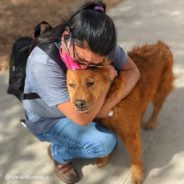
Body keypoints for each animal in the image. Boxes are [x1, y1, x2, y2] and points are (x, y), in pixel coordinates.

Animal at [66, 41, 174, 184]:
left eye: (90, 83)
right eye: (71, 85)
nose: (78, 104)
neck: (110, 95)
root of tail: (160, 45)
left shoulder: (130, 135)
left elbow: (135, 158)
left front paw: (137, 175)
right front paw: (103, 159)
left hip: (160, 91)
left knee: (157, 107)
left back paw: (151, 122)